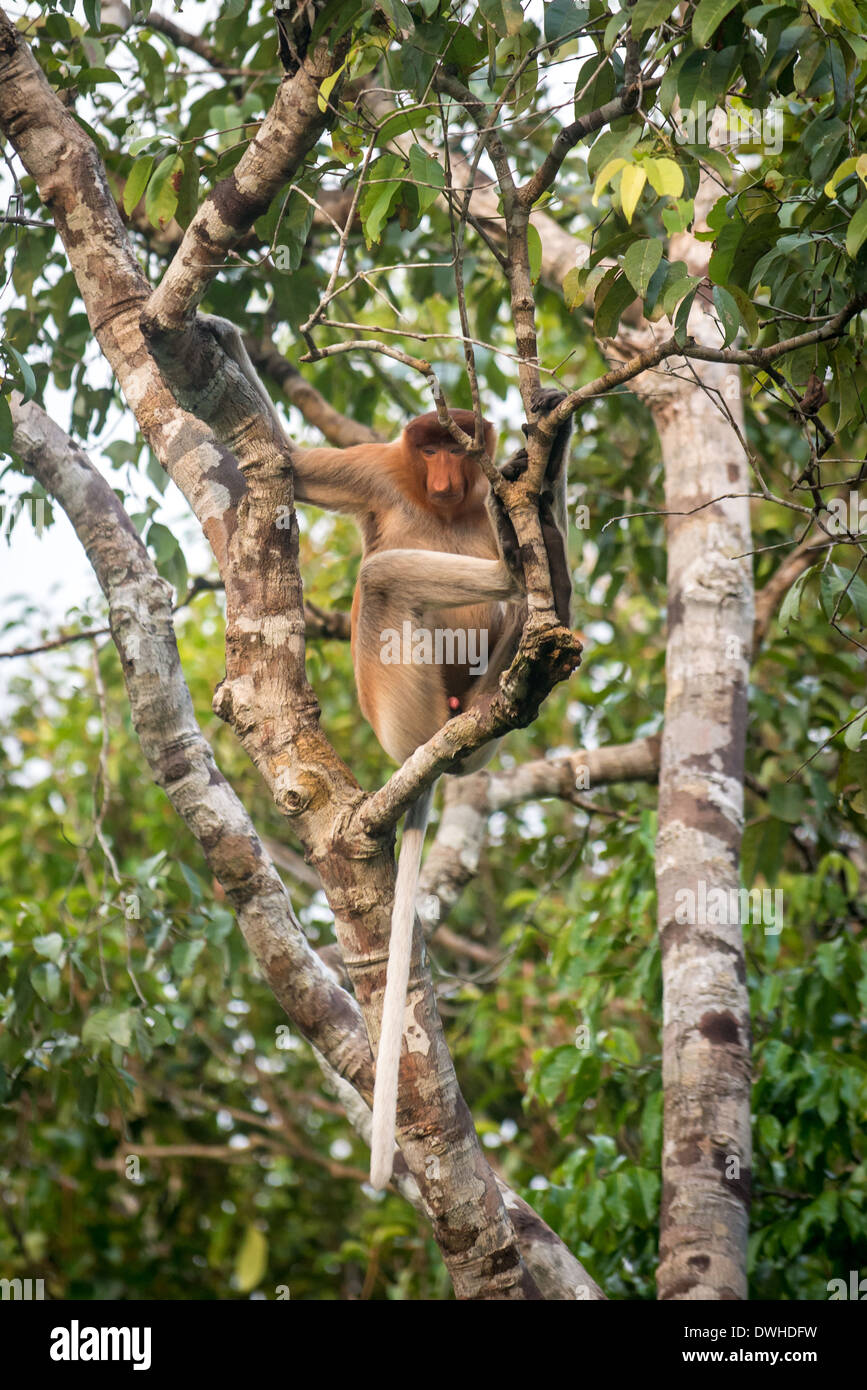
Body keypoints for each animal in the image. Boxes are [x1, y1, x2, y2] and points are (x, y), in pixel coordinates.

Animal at [198, 315, 573, 1187]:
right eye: (426, 447)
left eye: (452, 447)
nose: (440, 473)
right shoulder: (376, 468)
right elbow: (284, 465)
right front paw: (225, 334)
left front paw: (546, 439)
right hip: (400, 705)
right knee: (381, 581)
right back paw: (511, 570)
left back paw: (529, 587)